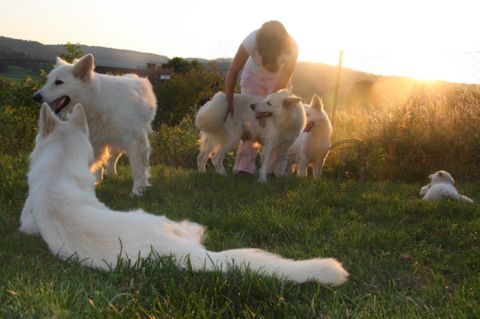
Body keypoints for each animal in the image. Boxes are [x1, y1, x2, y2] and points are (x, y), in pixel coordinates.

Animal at [17, 104, 348, 286]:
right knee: (193, 231)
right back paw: (197, 227)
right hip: (162, 220)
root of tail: (186, 255)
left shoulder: (27, 221)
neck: (59, 165)